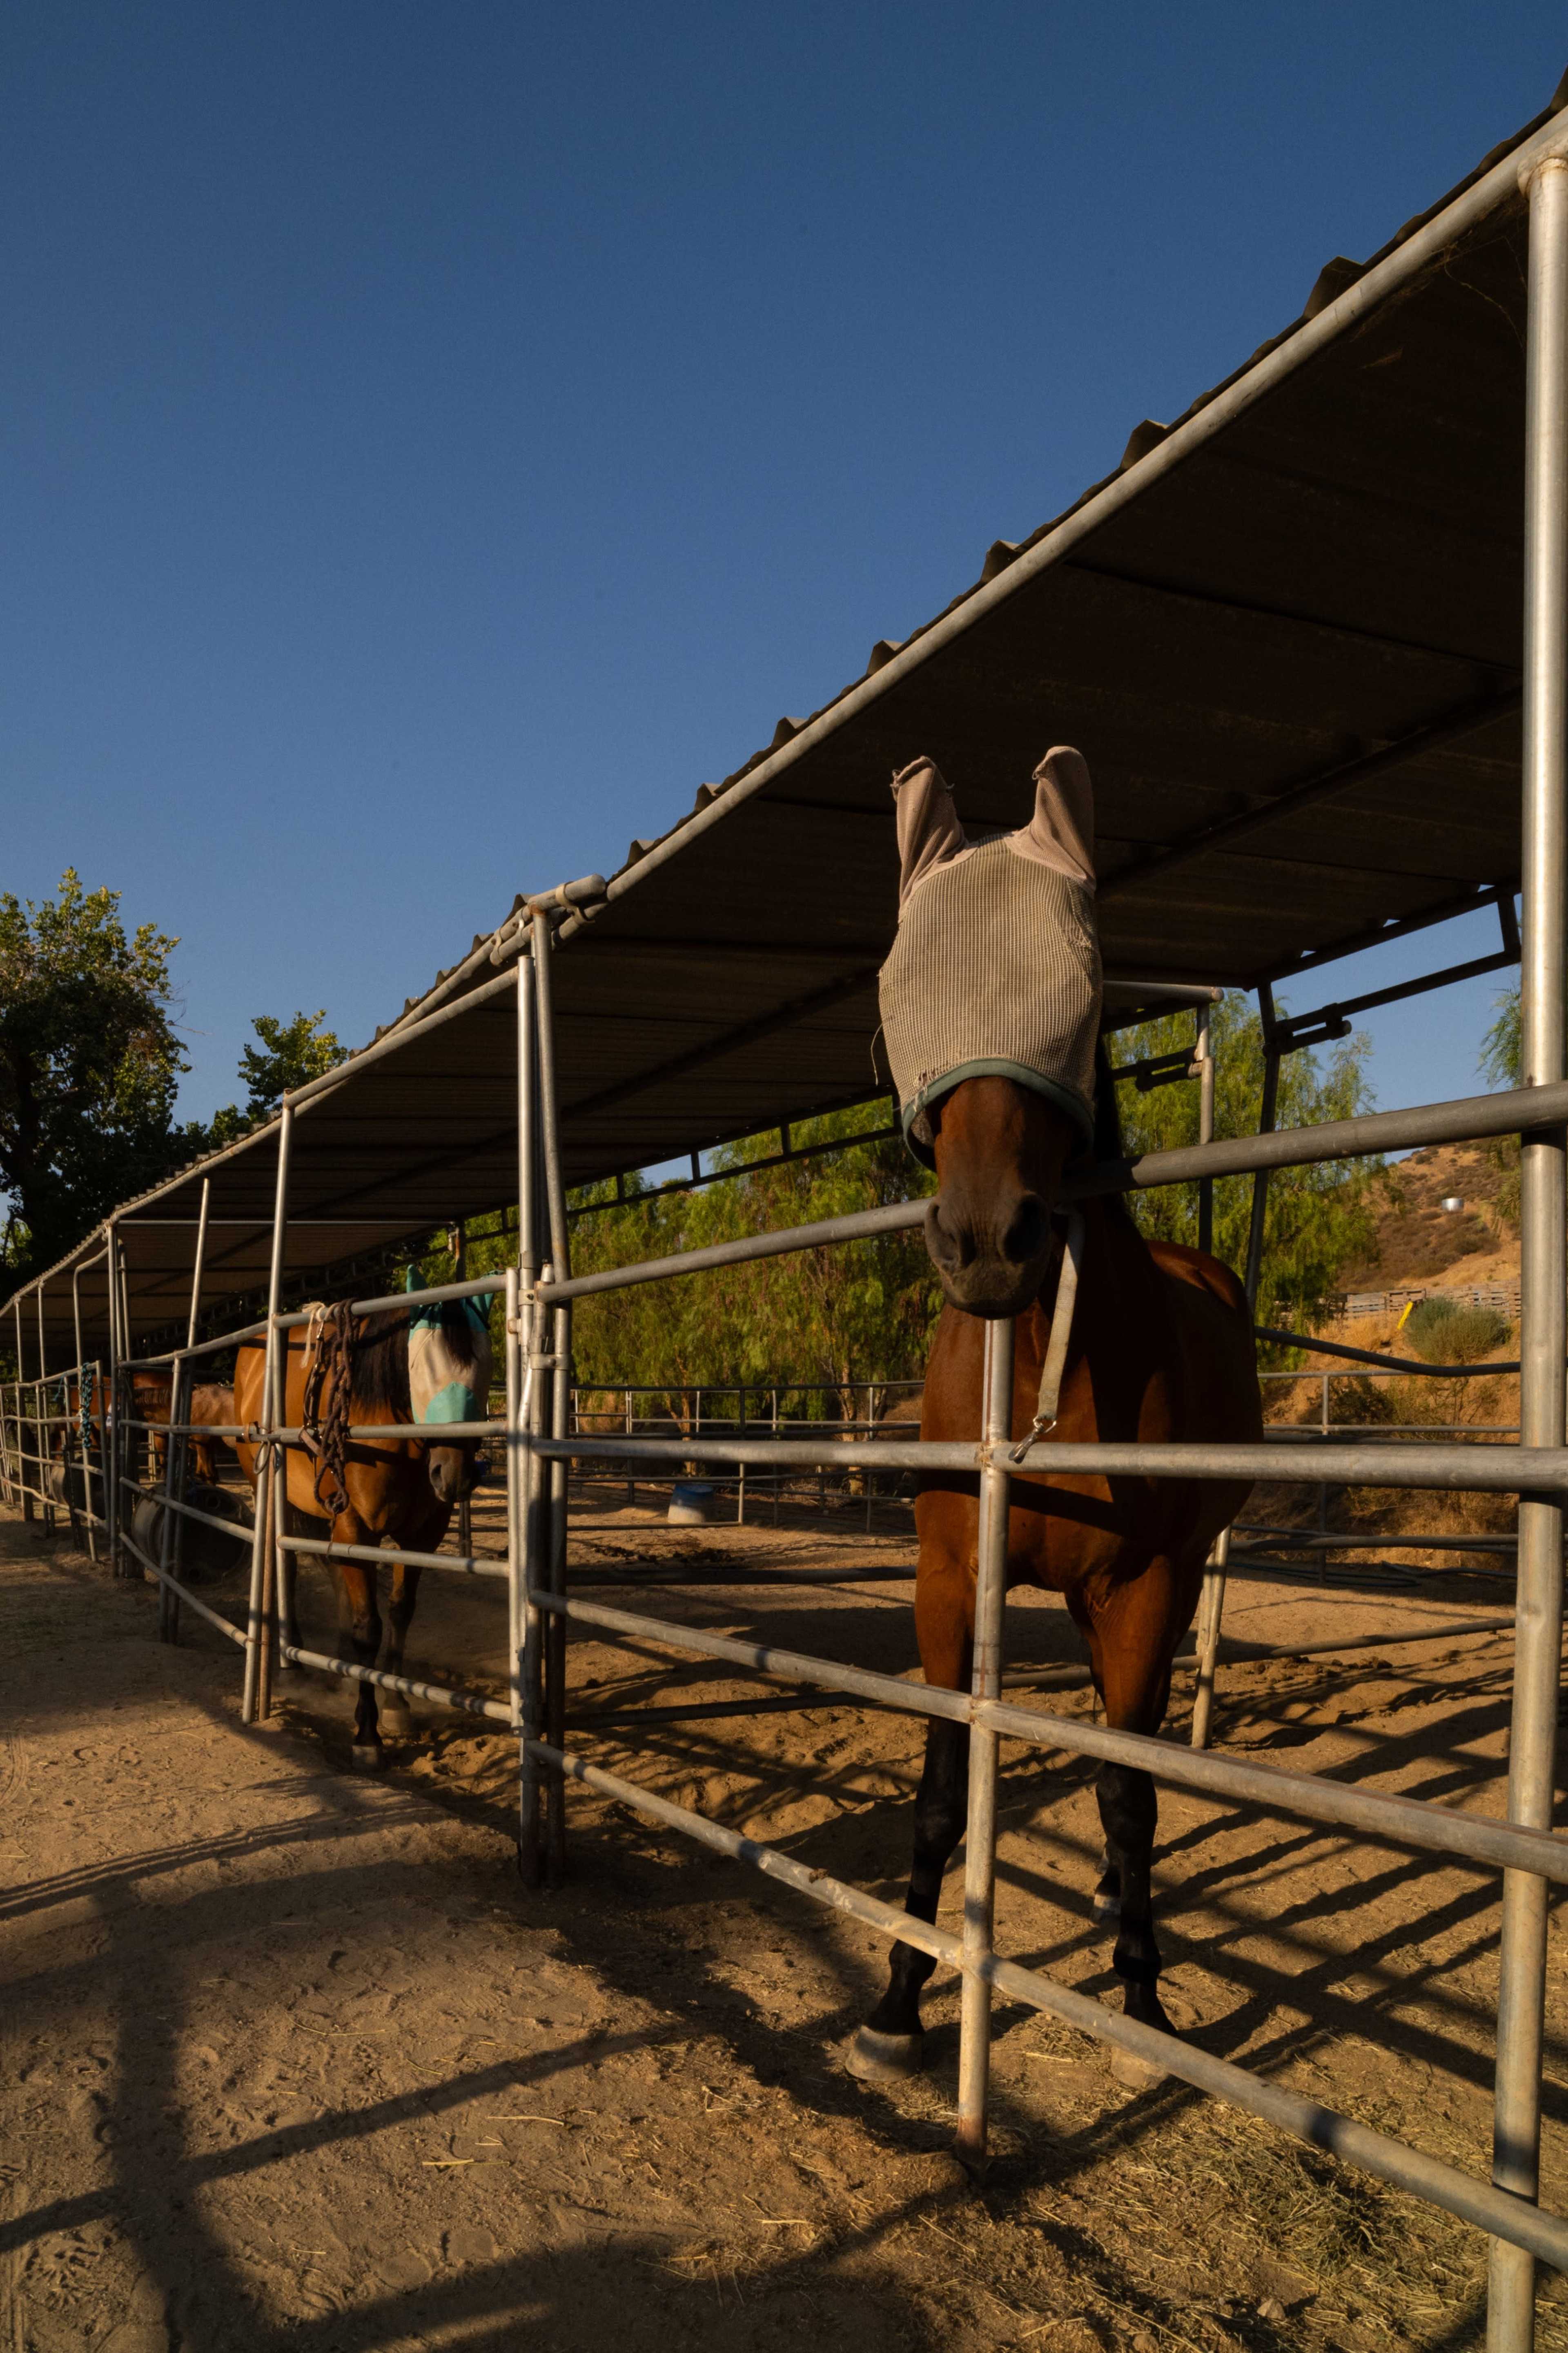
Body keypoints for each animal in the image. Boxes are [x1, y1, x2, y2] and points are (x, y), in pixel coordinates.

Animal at [233, 1294, 492, 1767]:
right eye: (422, 1366)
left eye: (485, 1367)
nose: (455, 1475)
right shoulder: (358, 1531)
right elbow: (368, 1626)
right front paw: (367, 1734)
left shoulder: (419, 1538)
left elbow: (400, 1613)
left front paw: (396, 1705)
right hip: (275, 1499)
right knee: (289, 1570)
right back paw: (294, 1665)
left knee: (337, 1579)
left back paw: (340, 1669)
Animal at [847, 749, 1261, 2084]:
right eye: (900, 992)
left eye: (1080, 990)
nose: (988, 1243)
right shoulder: (947, 1581)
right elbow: (942, 1791)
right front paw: (897, 2003)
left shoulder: (1141, 1588)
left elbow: (1128, 1792)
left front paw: (1141, 2004)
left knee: (1125, 1761)